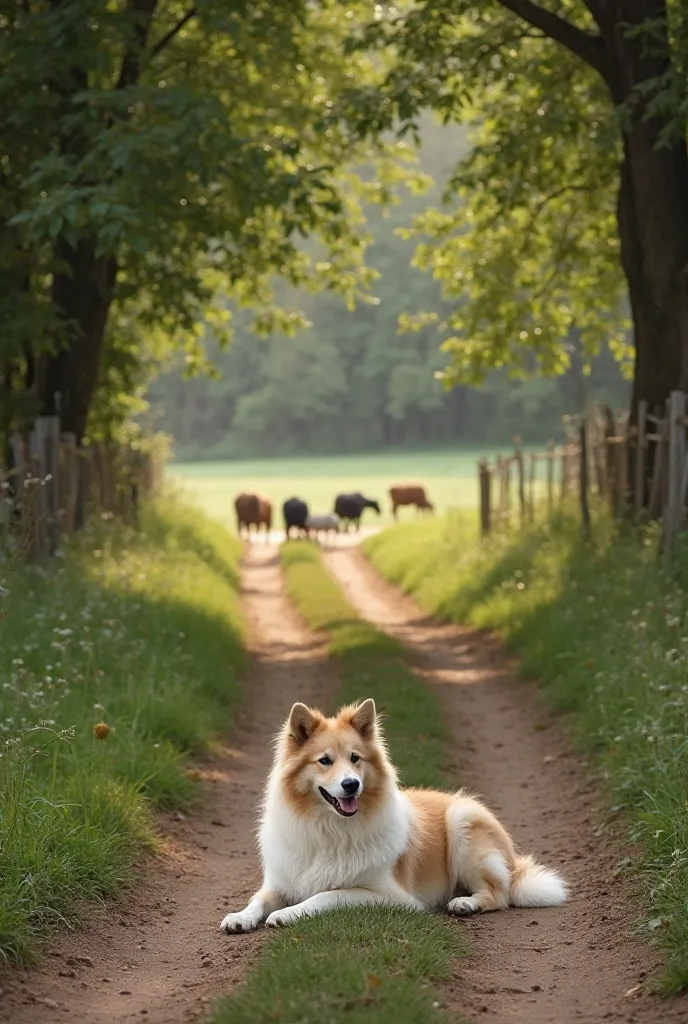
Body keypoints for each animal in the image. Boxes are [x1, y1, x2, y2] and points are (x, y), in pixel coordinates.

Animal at [218, 700, 565, 933]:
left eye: (355, 759)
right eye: (324, 761)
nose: (351, 785)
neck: (329, 828)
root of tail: (515, 862)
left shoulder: (388, 896)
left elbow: (328, 895)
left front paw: (286, 914)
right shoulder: (279, 883)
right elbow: (257, 900)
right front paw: (240, 917)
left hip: (462, 820)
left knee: (500, 894)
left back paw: (465, 903)